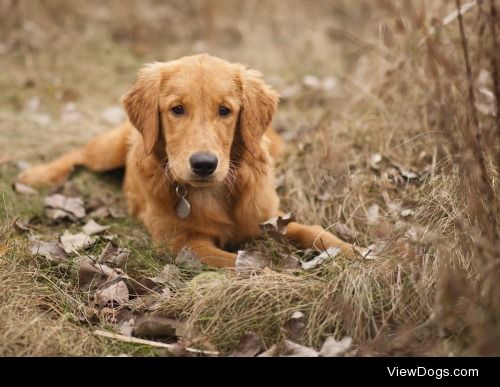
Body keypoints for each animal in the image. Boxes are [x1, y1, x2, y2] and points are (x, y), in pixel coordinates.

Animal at [18, 53, 356, 266]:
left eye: (225, 110)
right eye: (177, 109)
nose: (204, 165)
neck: (215, 192)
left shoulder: (267, 216)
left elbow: (308, 230)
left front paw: (350, 250)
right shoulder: (183, 243)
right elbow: (242, 265)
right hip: (108, 149)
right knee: (80, 154)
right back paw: (38, 174)